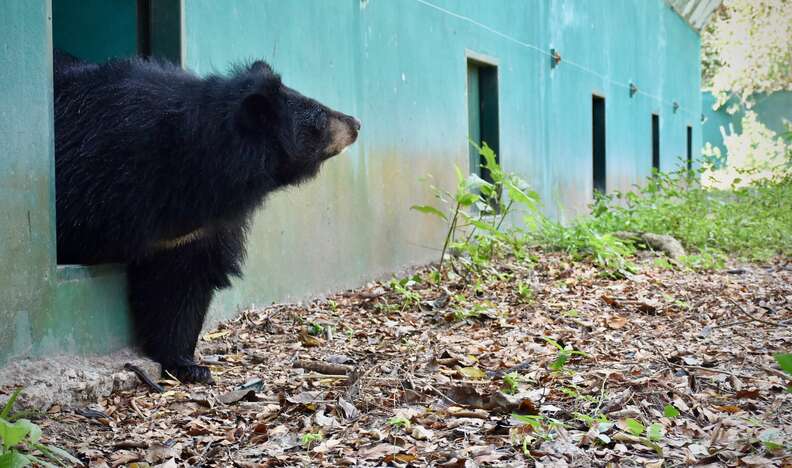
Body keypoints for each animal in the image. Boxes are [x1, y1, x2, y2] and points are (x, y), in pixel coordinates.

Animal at [53, 49, 360, 383]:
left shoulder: (191, 232)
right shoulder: (95, 182)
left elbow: (181, 284)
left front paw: (188, 365)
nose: (356, 123)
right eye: (319, 114)